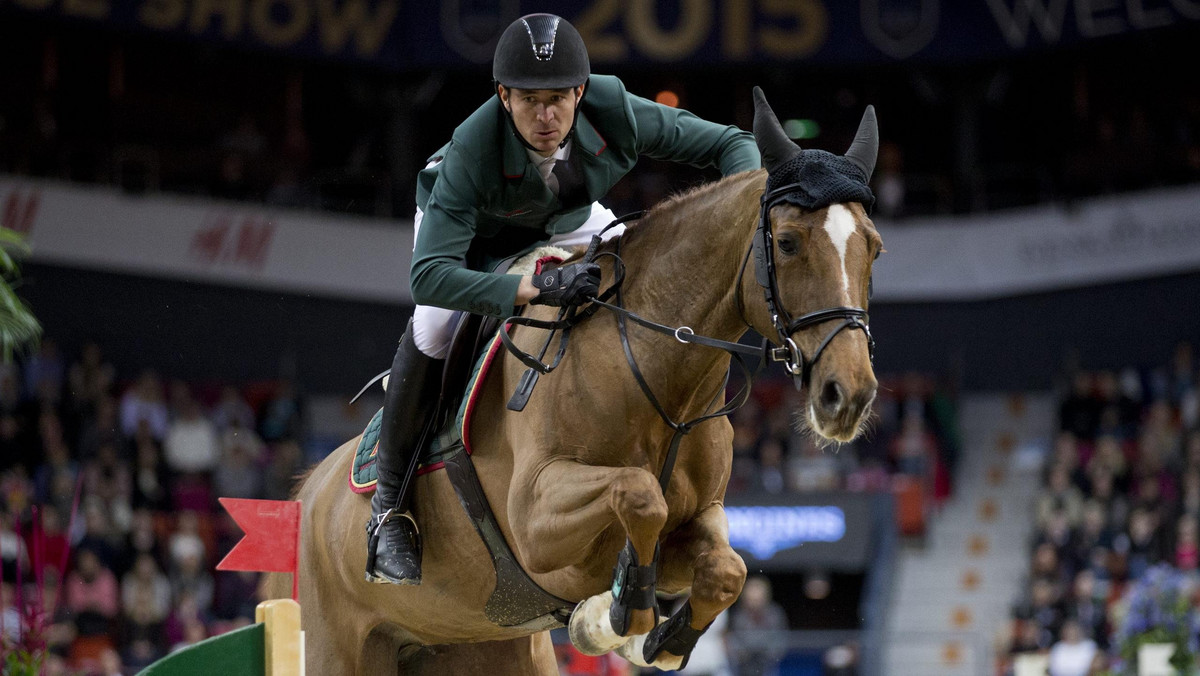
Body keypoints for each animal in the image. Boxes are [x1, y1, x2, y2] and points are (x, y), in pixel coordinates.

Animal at [265, 91, 883, 676]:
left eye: (874, 248)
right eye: (789, 243)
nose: (847, 396)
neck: (656, 377)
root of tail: (305, 494)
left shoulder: (702, 514)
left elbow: (724, 569)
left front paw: (656, 638)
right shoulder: (537, 524)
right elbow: (640, 494)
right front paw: (617, 612)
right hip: (339, 643)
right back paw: (393, 543)